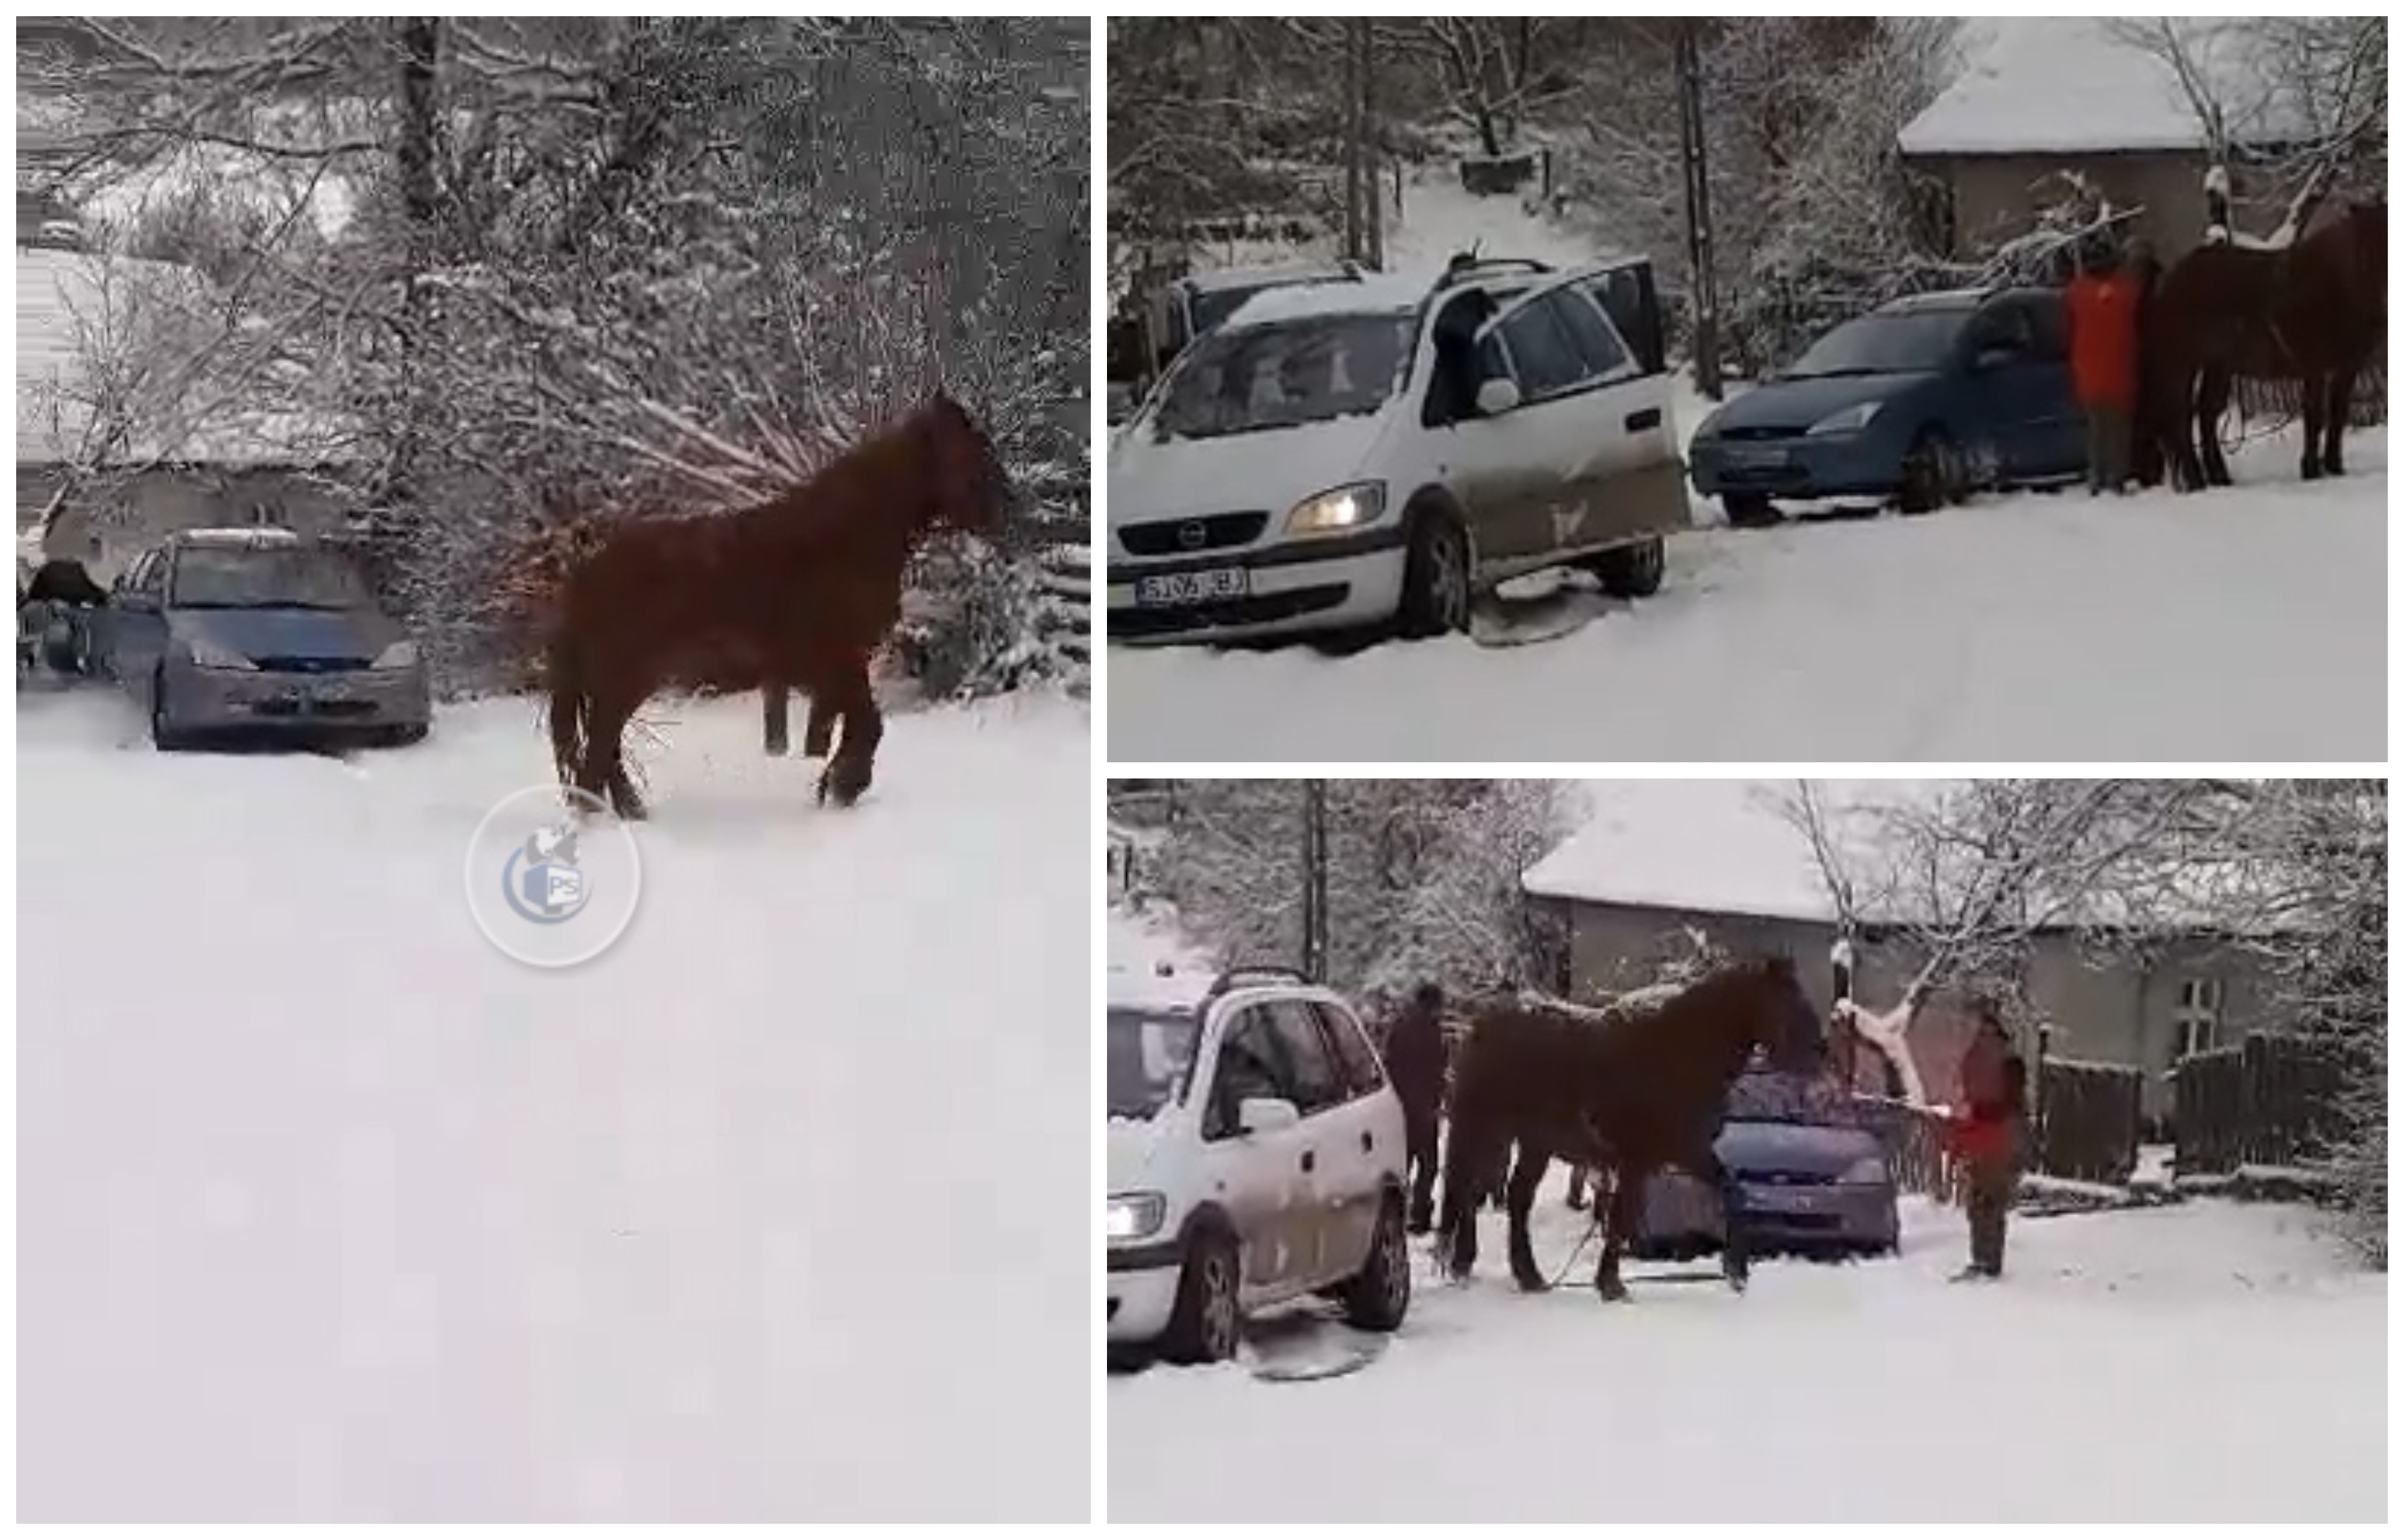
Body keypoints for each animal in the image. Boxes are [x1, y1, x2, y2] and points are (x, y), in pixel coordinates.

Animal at [543, 392, 1013, 818]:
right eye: (969, 454)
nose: (1008, 514)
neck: (842, 541)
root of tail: (582, 577)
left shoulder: (838, 667)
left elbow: (858, 727)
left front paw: (835, 784)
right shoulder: (835, 663)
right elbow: (868, 725)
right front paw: (843, 786)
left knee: (605, 759)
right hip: (620, 684)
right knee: (595, 761)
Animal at [1436, 955, 1825, 1301]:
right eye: (1789, 1001)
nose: (1821, 1052)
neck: (1674, 1057)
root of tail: (1479, 1026)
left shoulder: (1683, 1152)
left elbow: (1732, 1193)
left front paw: (1736, 1273)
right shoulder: (1637, 1159)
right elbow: (1622, 1218)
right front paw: (1611, 1285)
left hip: (1535, 1143)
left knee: (1516, 1199)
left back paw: (1526, 1276)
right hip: (1485, 1129)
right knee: (1469, 1193)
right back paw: (1463, 1266)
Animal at [2151, 184, 2386, 489]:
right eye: (2363, 247)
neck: (2332, 284)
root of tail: (2171, 280)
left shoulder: (2347, 367)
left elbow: (2337, 415)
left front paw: (2335, 468)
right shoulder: (2315, 367)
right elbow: (2315, 416)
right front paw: (2311, 470)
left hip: (2218, 365)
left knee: (2206, 414)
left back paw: (2219, 477)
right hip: (2184, 362)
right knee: (2181, 418)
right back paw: (2196, 481)